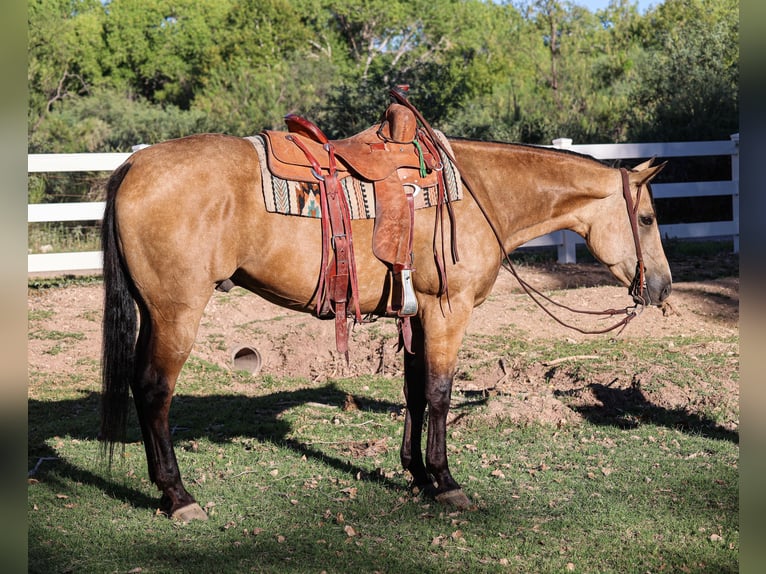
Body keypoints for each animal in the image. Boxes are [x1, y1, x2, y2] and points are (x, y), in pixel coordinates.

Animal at [97, 100, 672, 528]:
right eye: (645, 218)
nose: (662, 288)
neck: (481, 194)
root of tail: (133, 164)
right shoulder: (448, 311)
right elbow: (439, 393)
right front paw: (446, 482)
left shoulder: (415, 314)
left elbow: (414, 392)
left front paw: (416, 476)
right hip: (177, 312)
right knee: (154, 389)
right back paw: (178, 496)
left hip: (153, 311)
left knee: (139, 385)